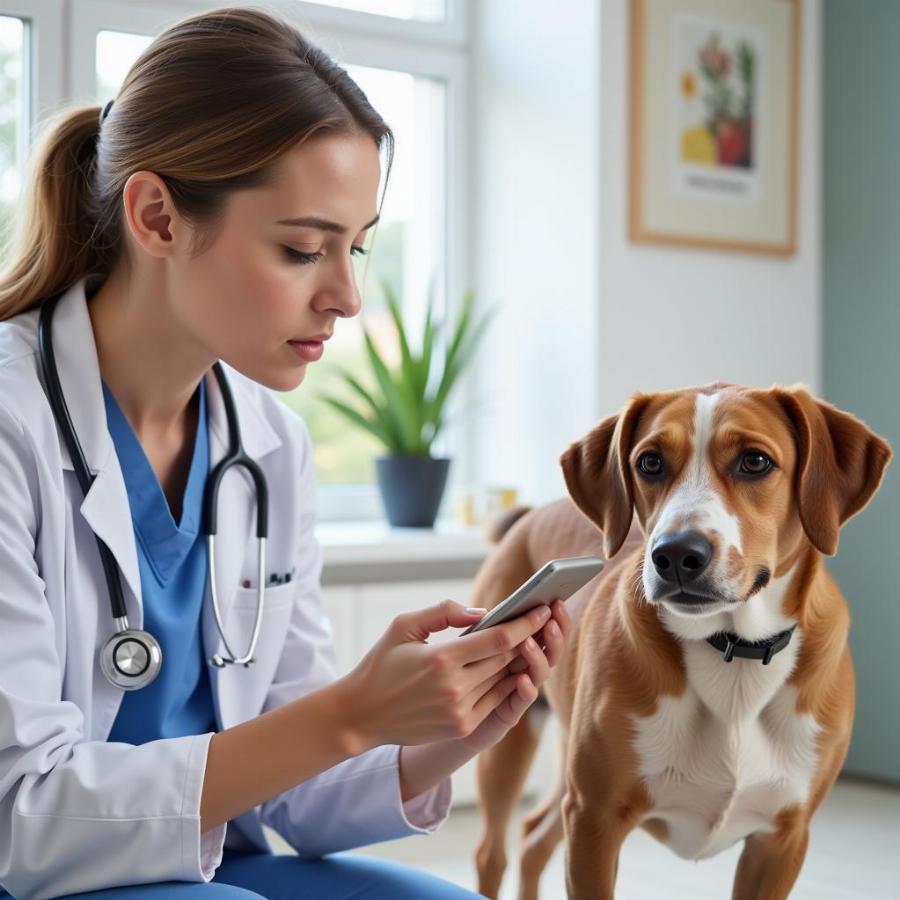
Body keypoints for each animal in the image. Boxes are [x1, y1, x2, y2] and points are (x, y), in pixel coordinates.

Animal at [472, 384, 892, 900]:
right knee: (493, 853)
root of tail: (529, 516)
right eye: (650, 462)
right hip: (508, 735)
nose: (674, 554)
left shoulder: (780, 840)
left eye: (755, 461)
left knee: (533, 838)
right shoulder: (595, 820)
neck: (733, 652)